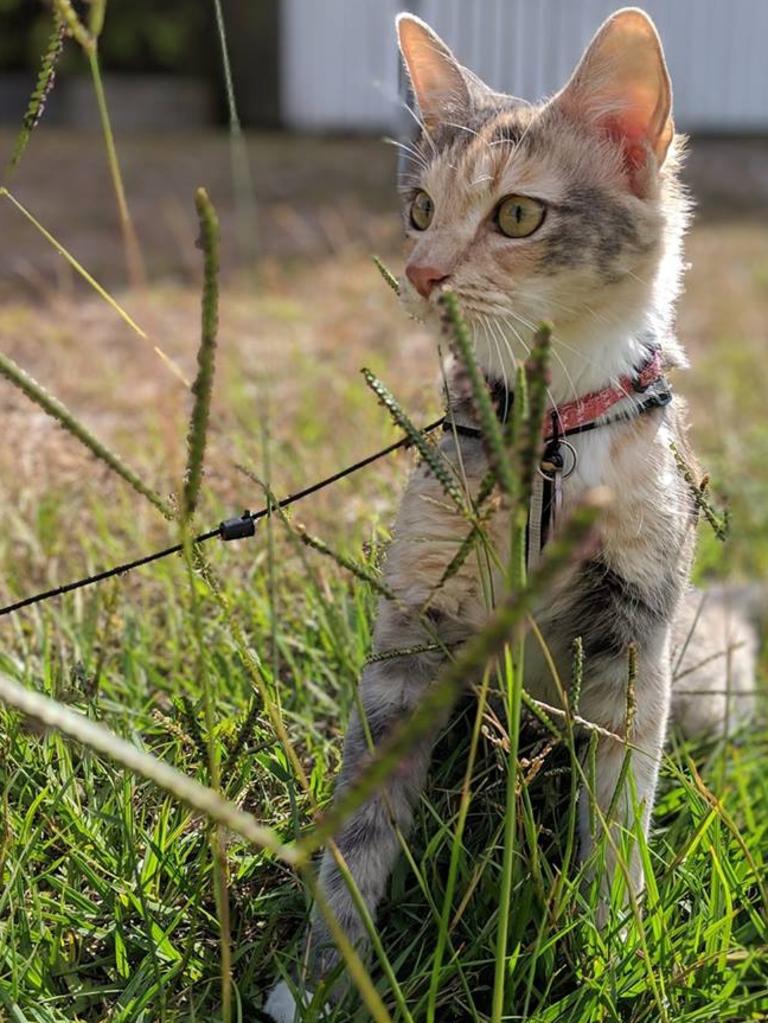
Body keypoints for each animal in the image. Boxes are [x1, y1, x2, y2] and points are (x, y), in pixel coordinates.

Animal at [263, 9, 756, 1023]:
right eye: (419, 208)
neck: (546, 436)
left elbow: (619, 808)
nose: (418, 274)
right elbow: (363, 818)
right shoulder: (414, 624)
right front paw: (322, 975)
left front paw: (613, 953)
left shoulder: (633, 629)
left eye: (518, 214)